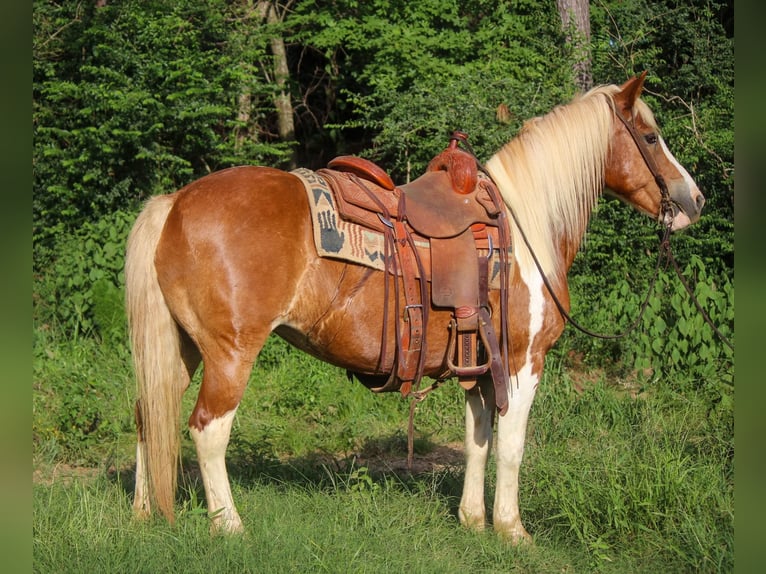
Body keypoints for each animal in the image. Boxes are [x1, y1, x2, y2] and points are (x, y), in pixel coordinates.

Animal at [127, 74, 708, 548]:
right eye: (651, 137)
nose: (695, 200)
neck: (525, 227)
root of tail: (175, 203)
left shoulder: (480, 364)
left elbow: (477, 440)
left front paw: (473, 521)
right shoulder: (523, 361)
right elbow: (512, 445)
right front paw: (512, 530)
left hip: (182, 351)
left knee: (148, 415)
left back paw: (145, 513)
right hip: (231, 354)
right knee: (207, 429)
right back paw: (228, 525)